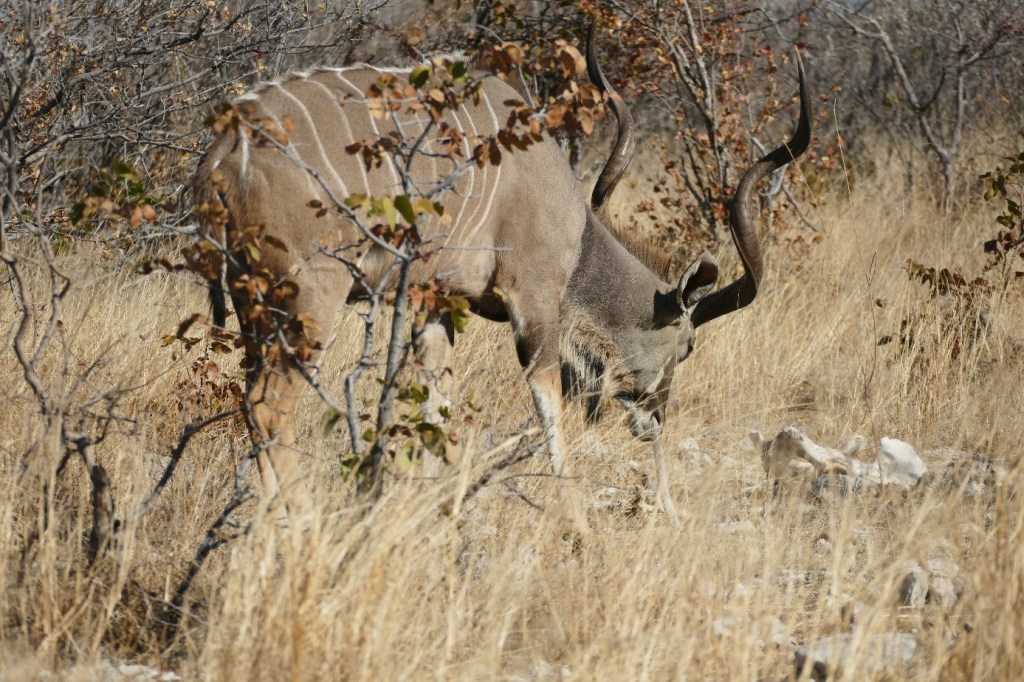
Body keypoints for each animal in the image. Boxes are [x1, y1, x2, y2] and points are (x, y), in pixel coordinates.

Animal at [191, 26, 811, 525]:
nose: (655, 419)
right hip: (310, 299)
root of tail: (220, 154)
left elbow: (437, 406)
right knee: (268, 404)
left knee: (251, 399)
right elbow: (548, 406)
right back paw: (298, 523)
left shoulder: (434, 303)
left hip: (256, 305)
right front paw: (576, 526)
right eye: (686, 348)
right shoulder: (533, 303)